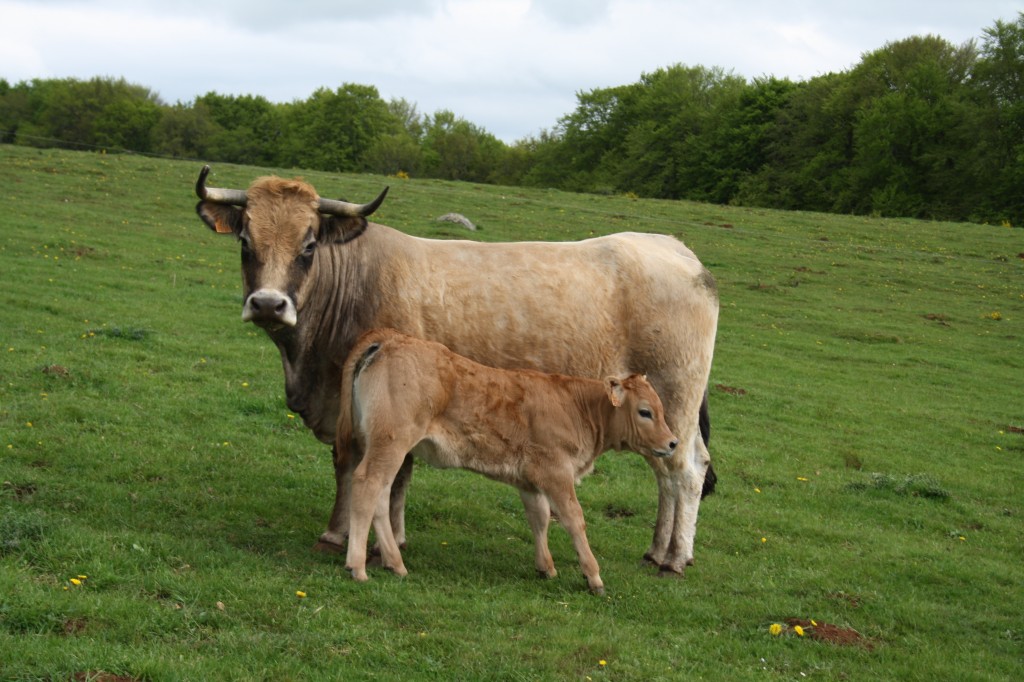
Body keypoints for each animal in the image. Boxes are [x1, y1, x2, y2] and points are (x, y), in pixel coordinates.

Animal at [339, 327, 684, 593]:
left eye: (660, 408)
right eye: (645, 411)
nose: (672, 442)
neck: (576, 408)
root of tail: (391, 338)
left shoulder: (529, 477)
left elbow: (539, 517)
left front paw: (546, 567)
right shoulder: (556, 473)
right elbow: (573, 518)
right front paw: (593, 576)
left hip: (383, 443)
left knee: (381, 494)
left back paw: (395, 563)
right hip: (392, 440)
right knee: (367, 484)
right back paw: (357, 566)